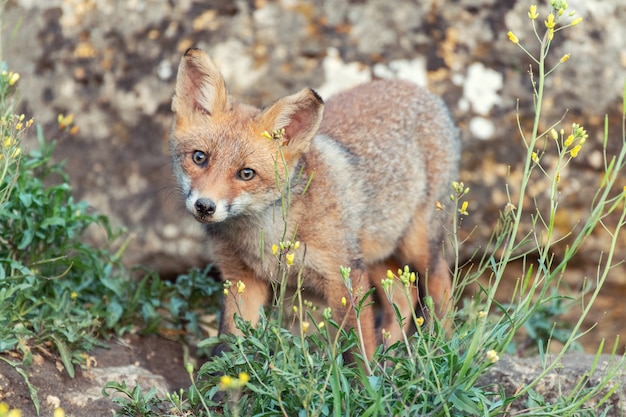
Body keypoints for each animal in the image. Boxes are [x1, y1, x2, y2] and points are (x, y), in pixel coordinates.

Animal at [169, 47, 458, 356]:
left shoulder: (344, 278)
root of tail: (420, 90)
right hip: (373, 254)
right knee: (405, 296)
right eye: (200, 157)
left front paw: (369, 371)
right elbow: (230, 349)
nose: (205, 206)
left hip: (415, 245)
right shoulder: (241, 280)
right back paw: (392, 356)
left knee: (440, 284)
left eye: (246, 173)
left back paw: (444, 347)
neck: (266, 237)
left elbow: (360, 350)